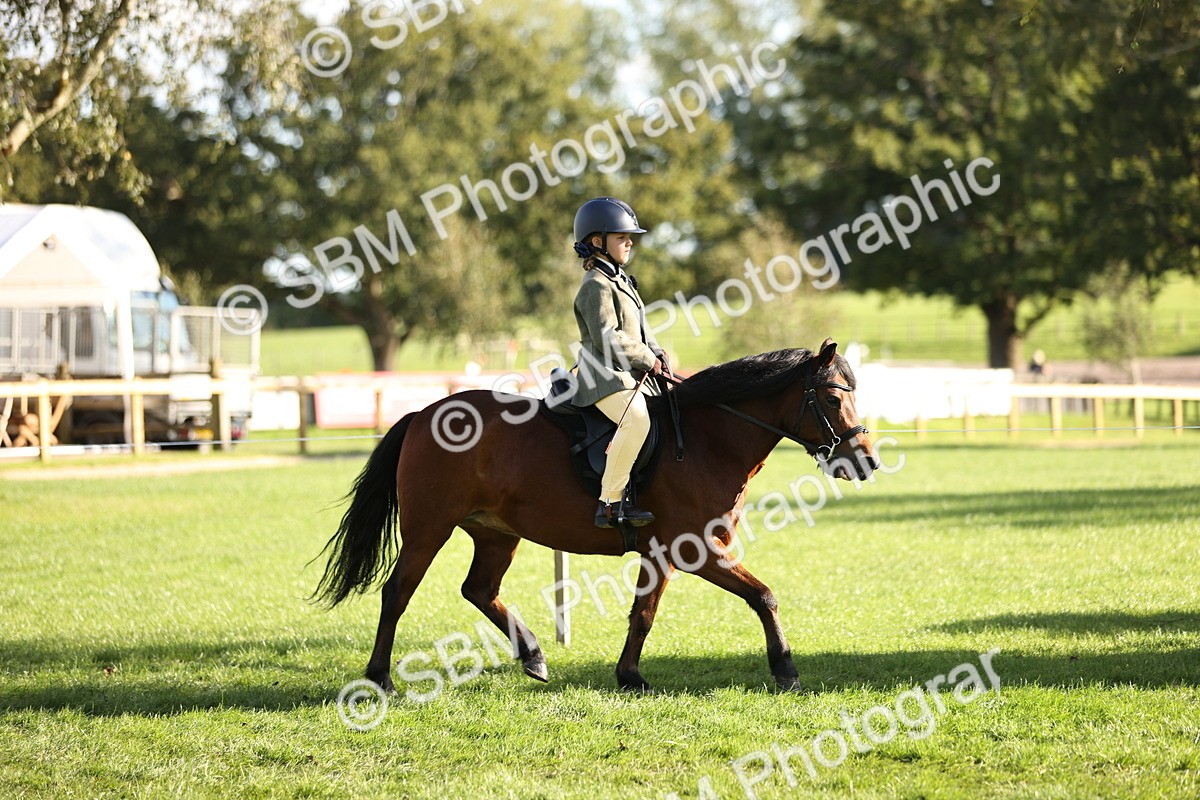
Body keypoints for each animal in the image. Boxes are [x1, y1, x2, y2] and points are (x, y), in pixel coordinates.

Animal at [312, 339, 879, 693]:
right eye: (833, 398)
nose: (866, 461)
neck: (706, 440)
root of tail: (422, 413)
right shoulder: (696, 550)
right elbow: (763, 596)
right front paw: (785, 669)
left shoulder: (662, 553)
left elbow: (643, 613)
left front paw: (629, 676)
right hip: (429, 528)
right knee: (397, 592)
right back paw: (380, 677)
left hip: (496, 533)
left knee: (479, 590)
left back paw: (534, 655)